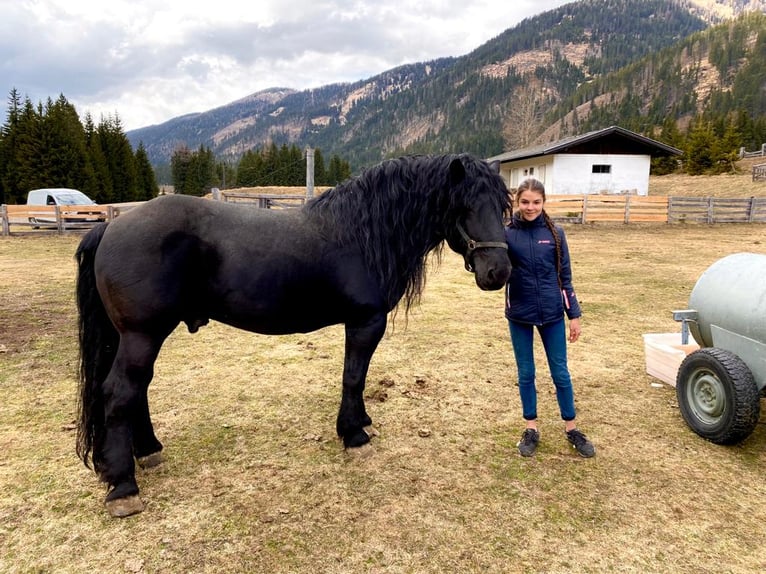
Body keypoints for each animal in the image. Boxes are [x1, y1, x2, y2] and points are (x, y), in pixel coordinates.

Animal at [75, 153, 512, 517]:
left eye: (503, 207)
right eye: (464, 206)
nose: (499, 272)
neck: (363, 234)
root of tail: (111, 226)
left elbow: (359, 378)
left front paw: (363, 422)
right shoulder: (365, 321)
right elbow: (353, 376)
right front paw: (354, 434)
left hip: (136, 337)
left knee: (136, 390)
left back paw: (148, 452)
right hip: (142, 335)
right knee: (121, 392)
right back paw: (123, 487)